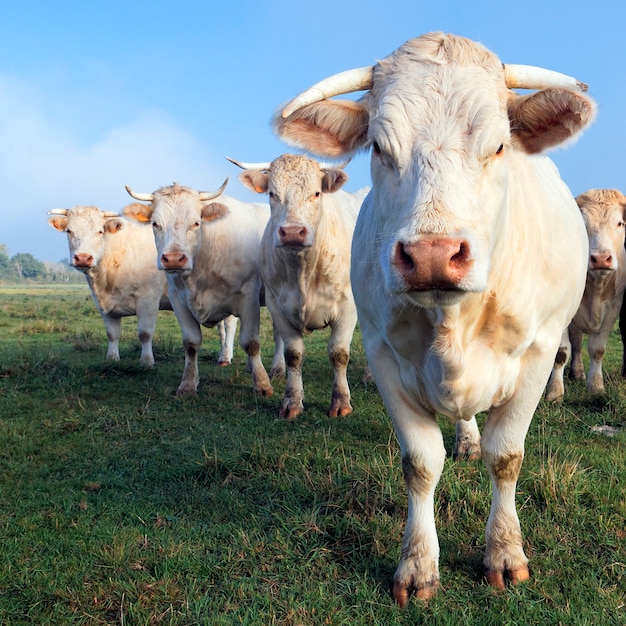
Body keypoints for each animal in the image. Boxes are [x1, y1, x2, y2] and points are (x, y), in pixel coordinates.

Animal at [228, 155, 366, 420]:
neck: (302, 270)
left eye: (316, 193)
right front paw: (292, 402)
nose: (292, 232)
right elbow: (293, 354)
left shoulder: (348, 305)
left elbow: (339, 353)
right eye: (272, 194)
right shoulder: (277, 305)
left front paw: (341, 401)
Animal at [274, 31, 596, 604]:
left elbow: (506, 456)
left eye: (499, 145)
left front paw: (504, 552)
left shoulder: (538, 353)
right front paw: (418, 563)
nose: (432, 255)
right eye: (380, 148)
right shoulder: (381, 353)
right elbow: (420, 464)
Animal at [540, 186, 624, 400]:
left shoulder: (613, 309)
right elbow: (561, 352)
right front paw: (554, 392)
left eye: (620, 223)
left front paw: (596, 386)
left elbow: (597, 349)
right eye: (583, 224)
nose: (601, 258)